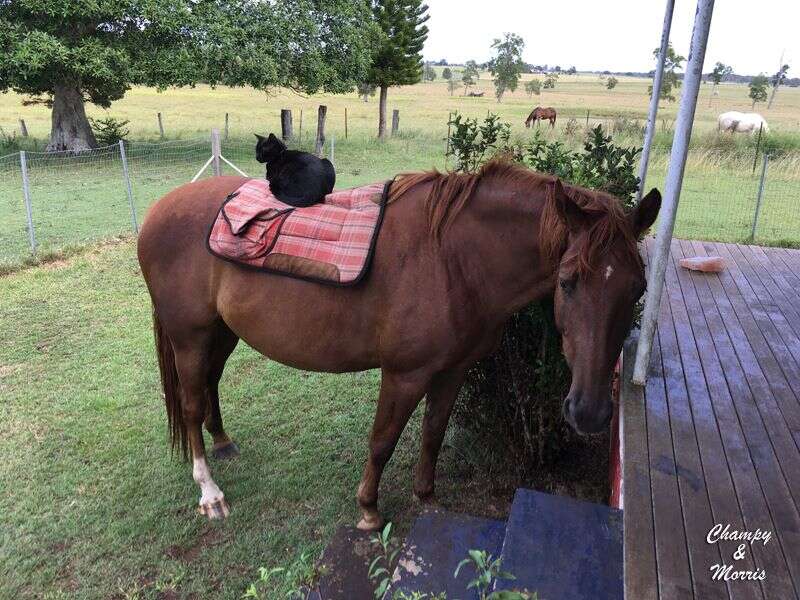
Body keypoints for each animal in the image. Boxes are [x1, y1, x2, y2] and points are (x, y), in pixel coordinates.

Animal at [139, 159, 664, 528]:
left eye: (639, 288)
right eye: (568, 282)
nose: (590, 412)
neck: (454, 260)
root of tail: (158, 210)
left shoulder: (453, 370)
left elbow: (432, 433)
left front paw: (427, 497)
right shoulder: (405, 374)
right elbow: (383, 441)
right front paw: (369, 510)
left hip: (222, 332)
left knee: (210, 384)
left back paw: (223, 441)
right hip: (189, 336)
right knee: (190, 404)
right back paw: (210, 492)